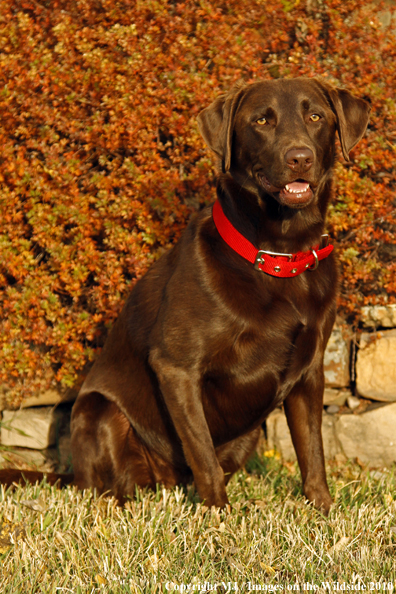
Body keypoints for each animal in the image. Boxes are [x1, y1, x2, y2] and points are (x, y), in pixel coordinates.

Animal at [0, 77, 372, 512]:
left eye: (315, 116)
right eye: (262, 120)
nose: (299, 158)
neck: (278, 256)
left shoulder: (309, 374)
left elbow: (312, 451)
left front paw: (324, 510)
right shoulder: (177, 368)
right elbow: (203, 455)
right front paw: (220, 516)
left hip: (247, 436)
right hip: (100, 412)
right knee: (109, 489)